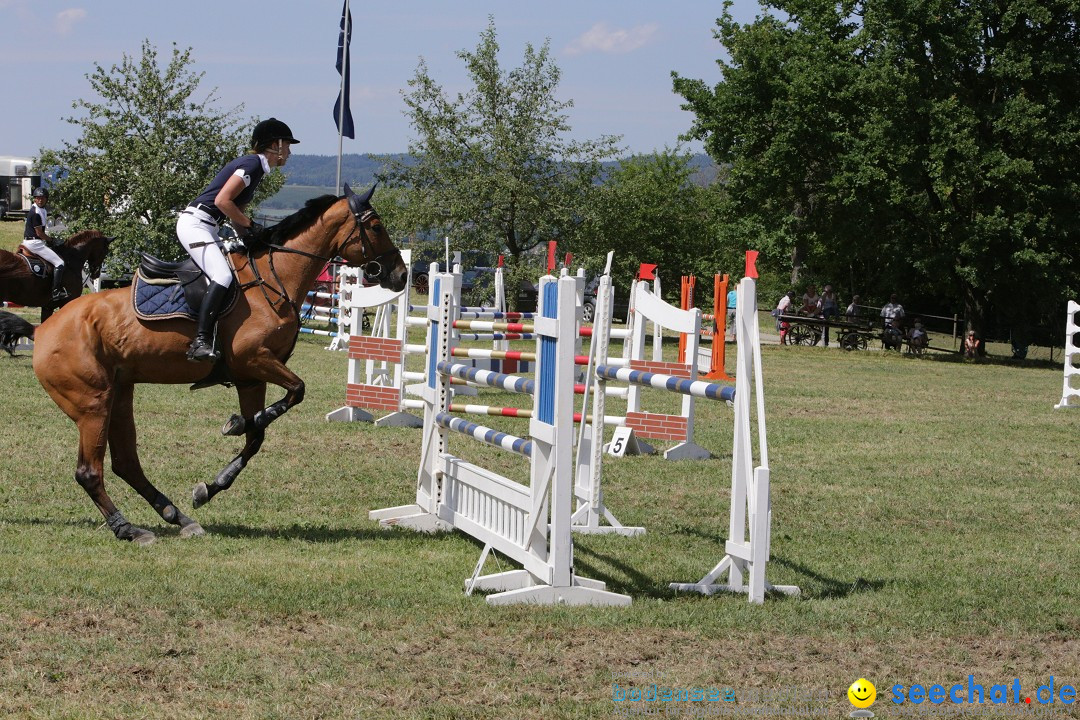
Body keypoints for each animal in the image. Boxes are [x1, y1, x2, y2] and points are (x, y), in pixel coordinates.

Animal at [35, 185, 408, 546]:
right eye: (376, 226)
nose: (401, 276)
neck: (274, 279)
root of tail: (42, 330)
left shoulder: (251, 378)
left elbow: (258, 436)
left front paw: (211, 484)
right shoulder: (253, 359)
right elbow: (296, 392)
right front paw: (236, 424)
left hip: (120, 395)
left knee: (126, 464)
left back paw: (178, 517)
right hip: (93, 403)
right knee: (89, 471)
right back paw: (129, 529)